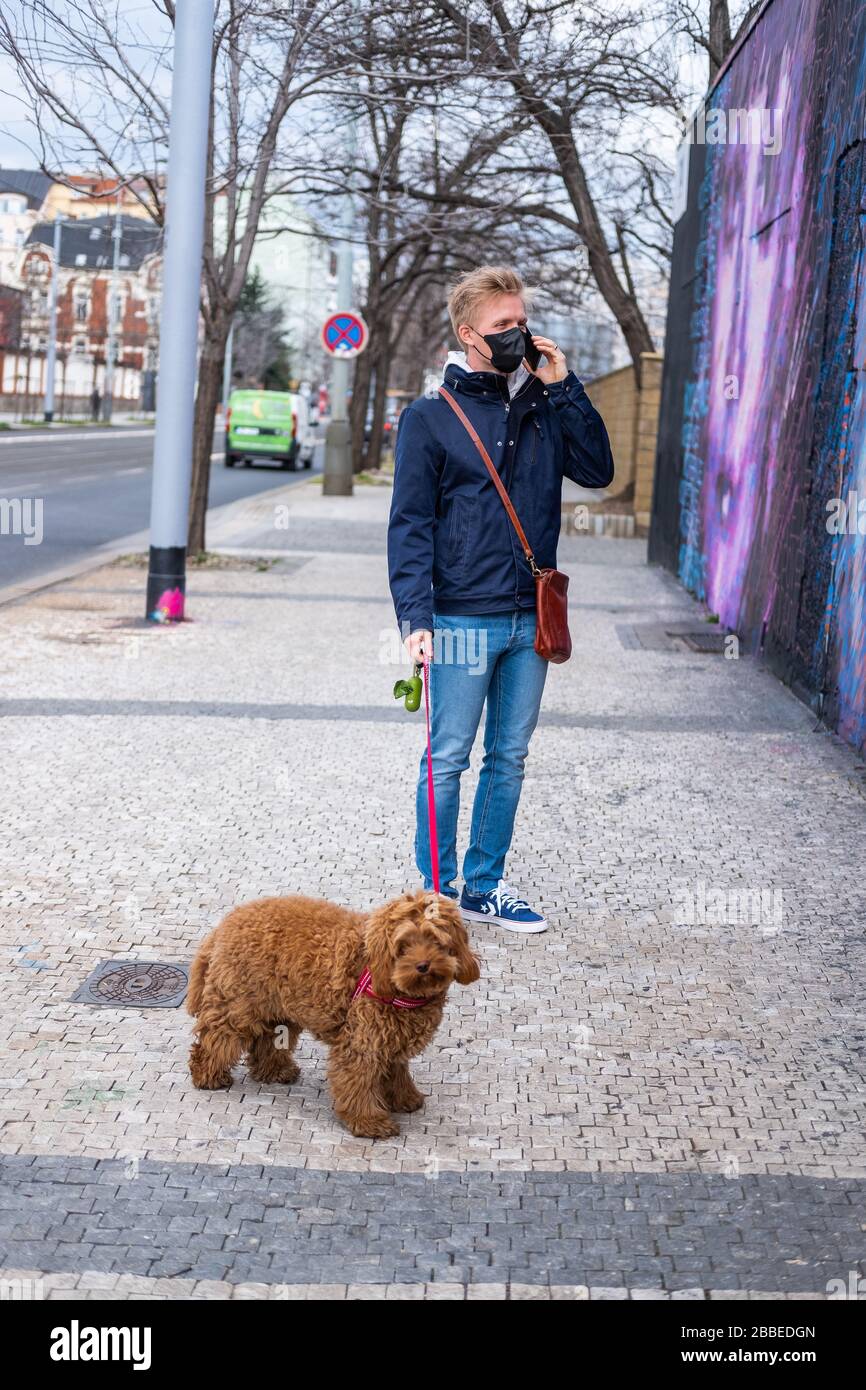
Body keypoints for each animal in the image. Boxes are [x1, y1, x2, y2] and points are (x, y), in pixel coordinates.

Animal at [187, 889, 480, 1139]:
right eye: (403, 945)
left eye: (435, 939)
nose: (423, 965)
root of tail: (228, 921)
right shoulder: (362, 1042)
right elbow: (358, 1083)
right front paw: (369, 1121)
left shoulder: (391, 1038)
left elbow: (396, 1072)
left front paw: (404, 1098)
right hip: (237, 1005)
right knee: (215, 1039)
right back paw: (207, 1075)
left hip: (279, 1009)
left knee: (268, 1040)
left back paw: (274, 1071)